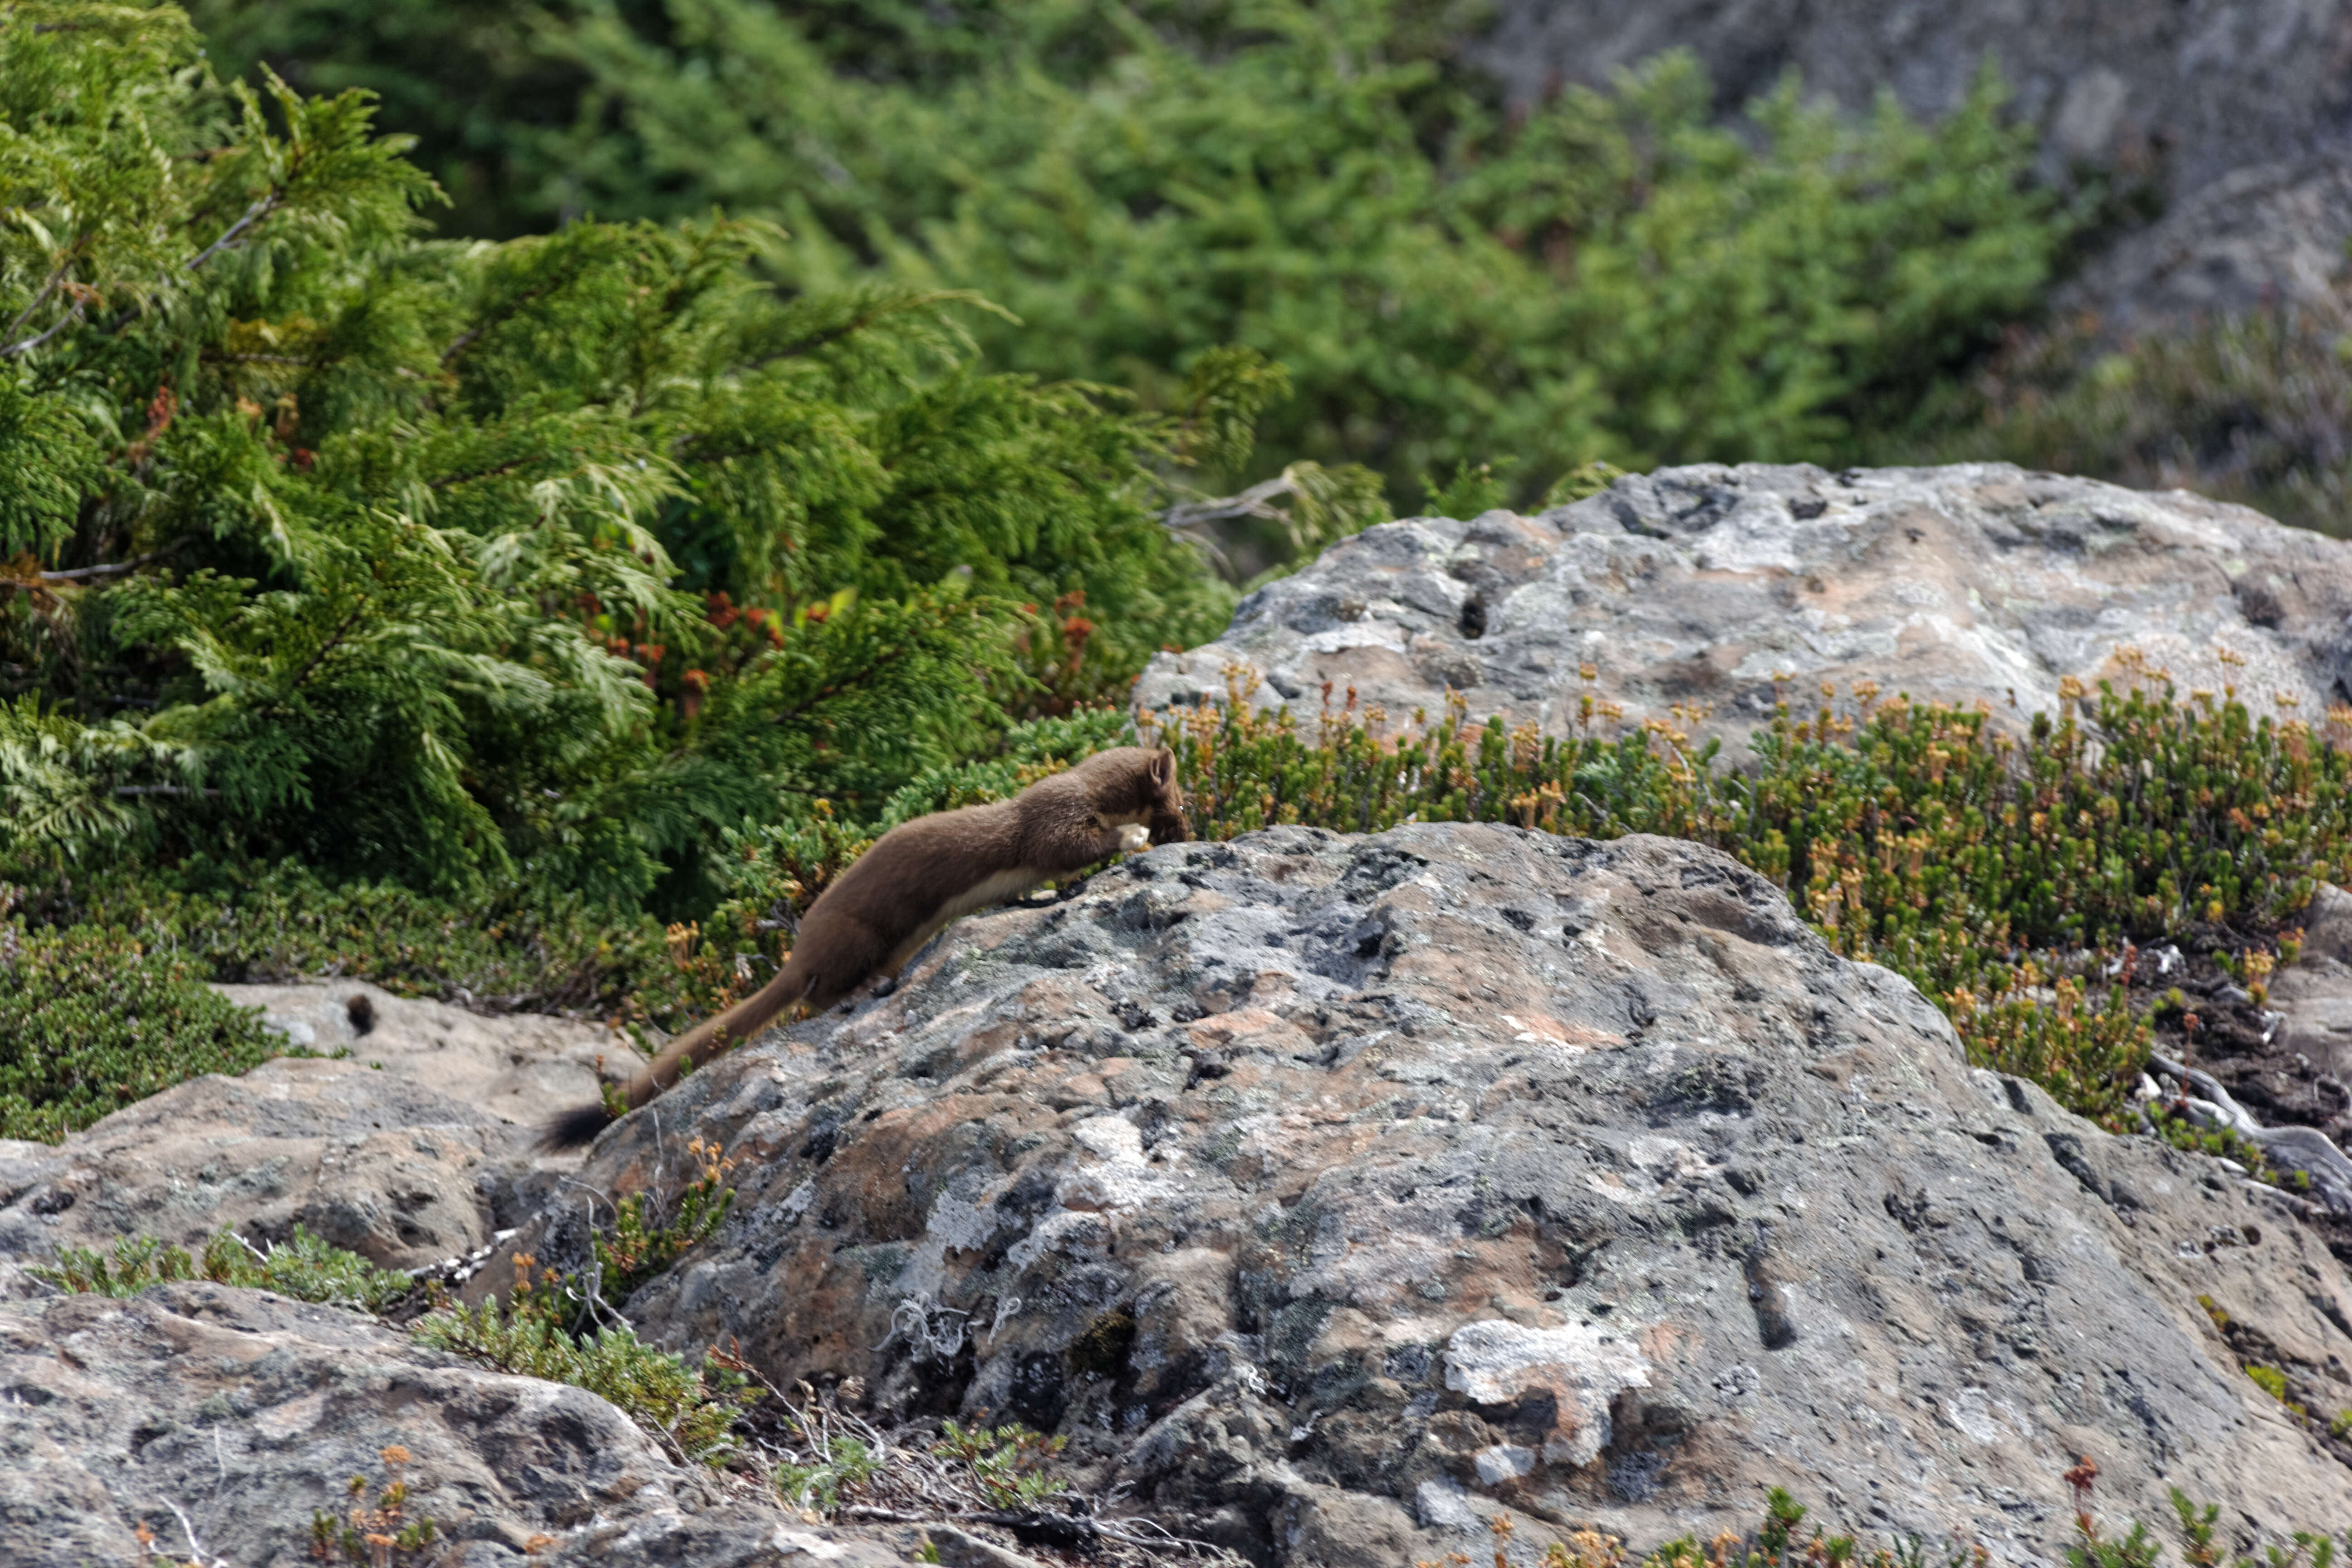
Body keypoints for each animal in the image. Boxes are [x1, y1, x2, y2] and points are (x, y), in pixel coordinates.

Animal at [541, 743, 1185, 1147]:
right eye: (1177, 796)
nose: (1182, 826)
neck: (1082, 786)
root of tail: (798, 950)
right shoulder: (1052, 818)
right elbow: (1067, 846)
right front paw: (1130, 835)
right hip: (856, 934)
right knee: (815, 995)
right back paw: (864, 988)